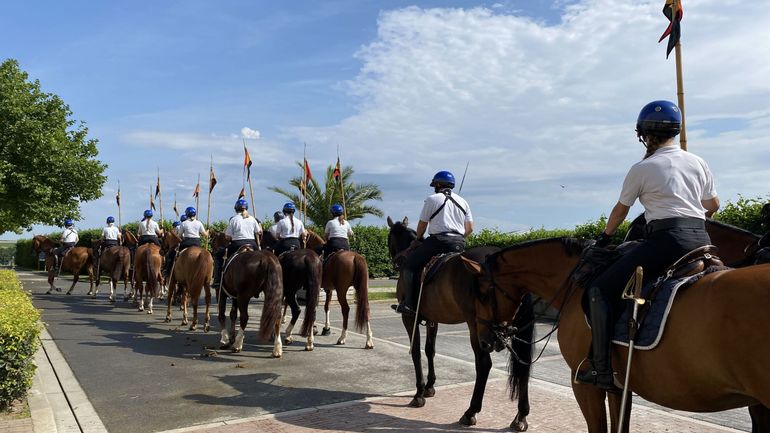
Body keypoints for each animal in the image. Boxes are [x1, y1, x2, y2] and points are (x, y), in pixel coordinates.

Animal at [388, 216, 532, 428]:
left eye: (389, 239)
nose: (395, 261)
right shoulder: (433, 319)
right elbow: (430, 350)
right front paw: (429, 386)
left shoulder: (408, 318)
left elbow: (415, 351)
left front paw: (419, 393)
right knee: (524, 365)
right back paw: (520, 416)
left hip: (477, 326)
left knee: (484, 364)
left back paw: (471, 411)